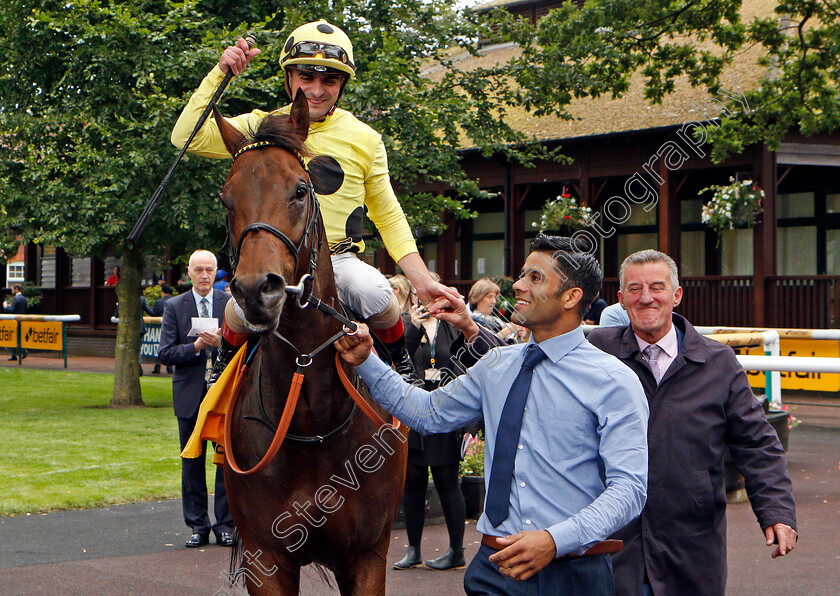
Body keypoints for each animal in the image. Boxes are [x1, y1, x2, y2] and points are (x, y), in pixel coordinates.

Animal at [215, 91, 408, 592]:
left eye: (301, 190)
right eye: (226, 200)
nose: (256, 290)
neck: (311, 416)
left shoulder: (366, 554)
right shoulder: (265, 558)